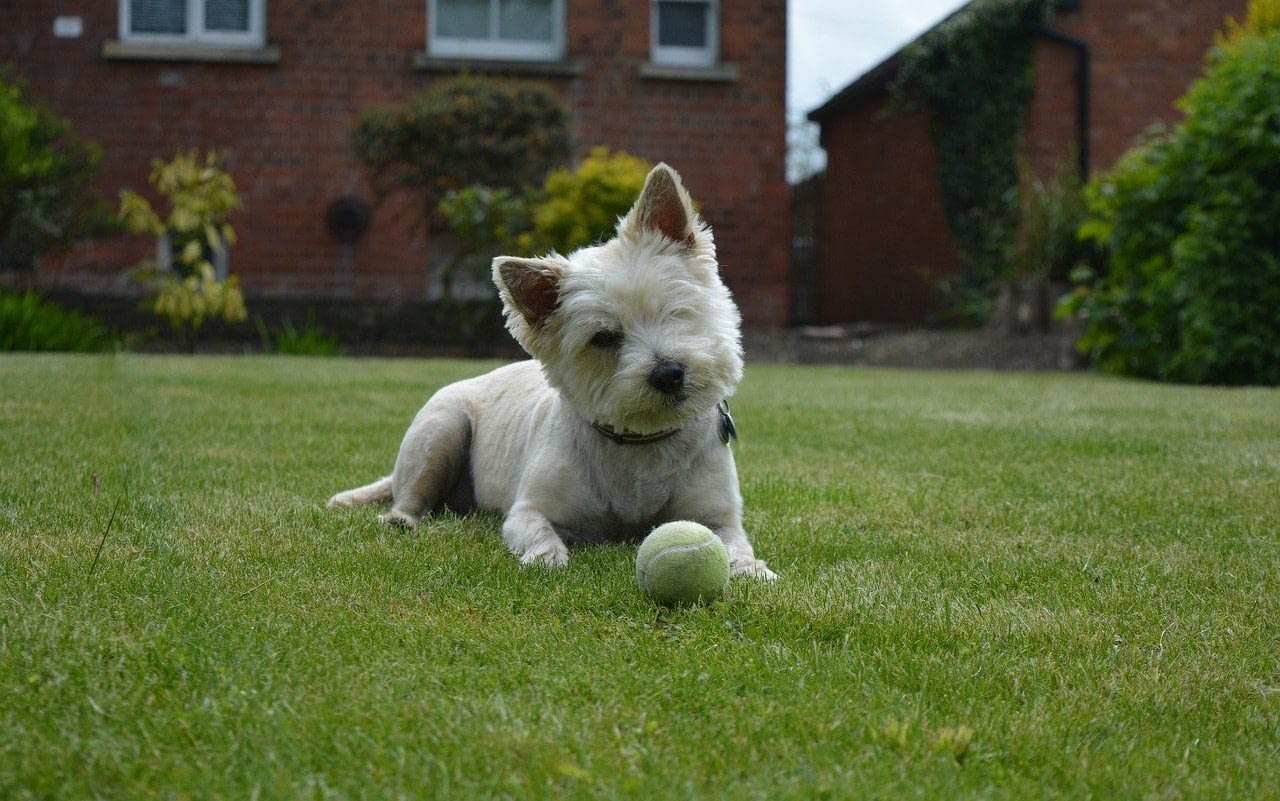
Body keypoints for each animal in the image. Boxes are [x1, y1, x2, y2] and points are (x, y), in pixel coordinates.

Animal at [325, 162, 773, 575]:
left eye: (676, 311)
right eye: (604, 338)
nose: (668, 374)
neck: (641, 444)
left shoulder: (718, 517)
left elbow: (734, 544)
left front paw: (751, 569)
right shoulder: (527, 510)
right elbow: (538, 531)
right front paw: (547, 557)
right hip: (440, 430)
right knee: (411, 495)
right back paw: (401, 518)